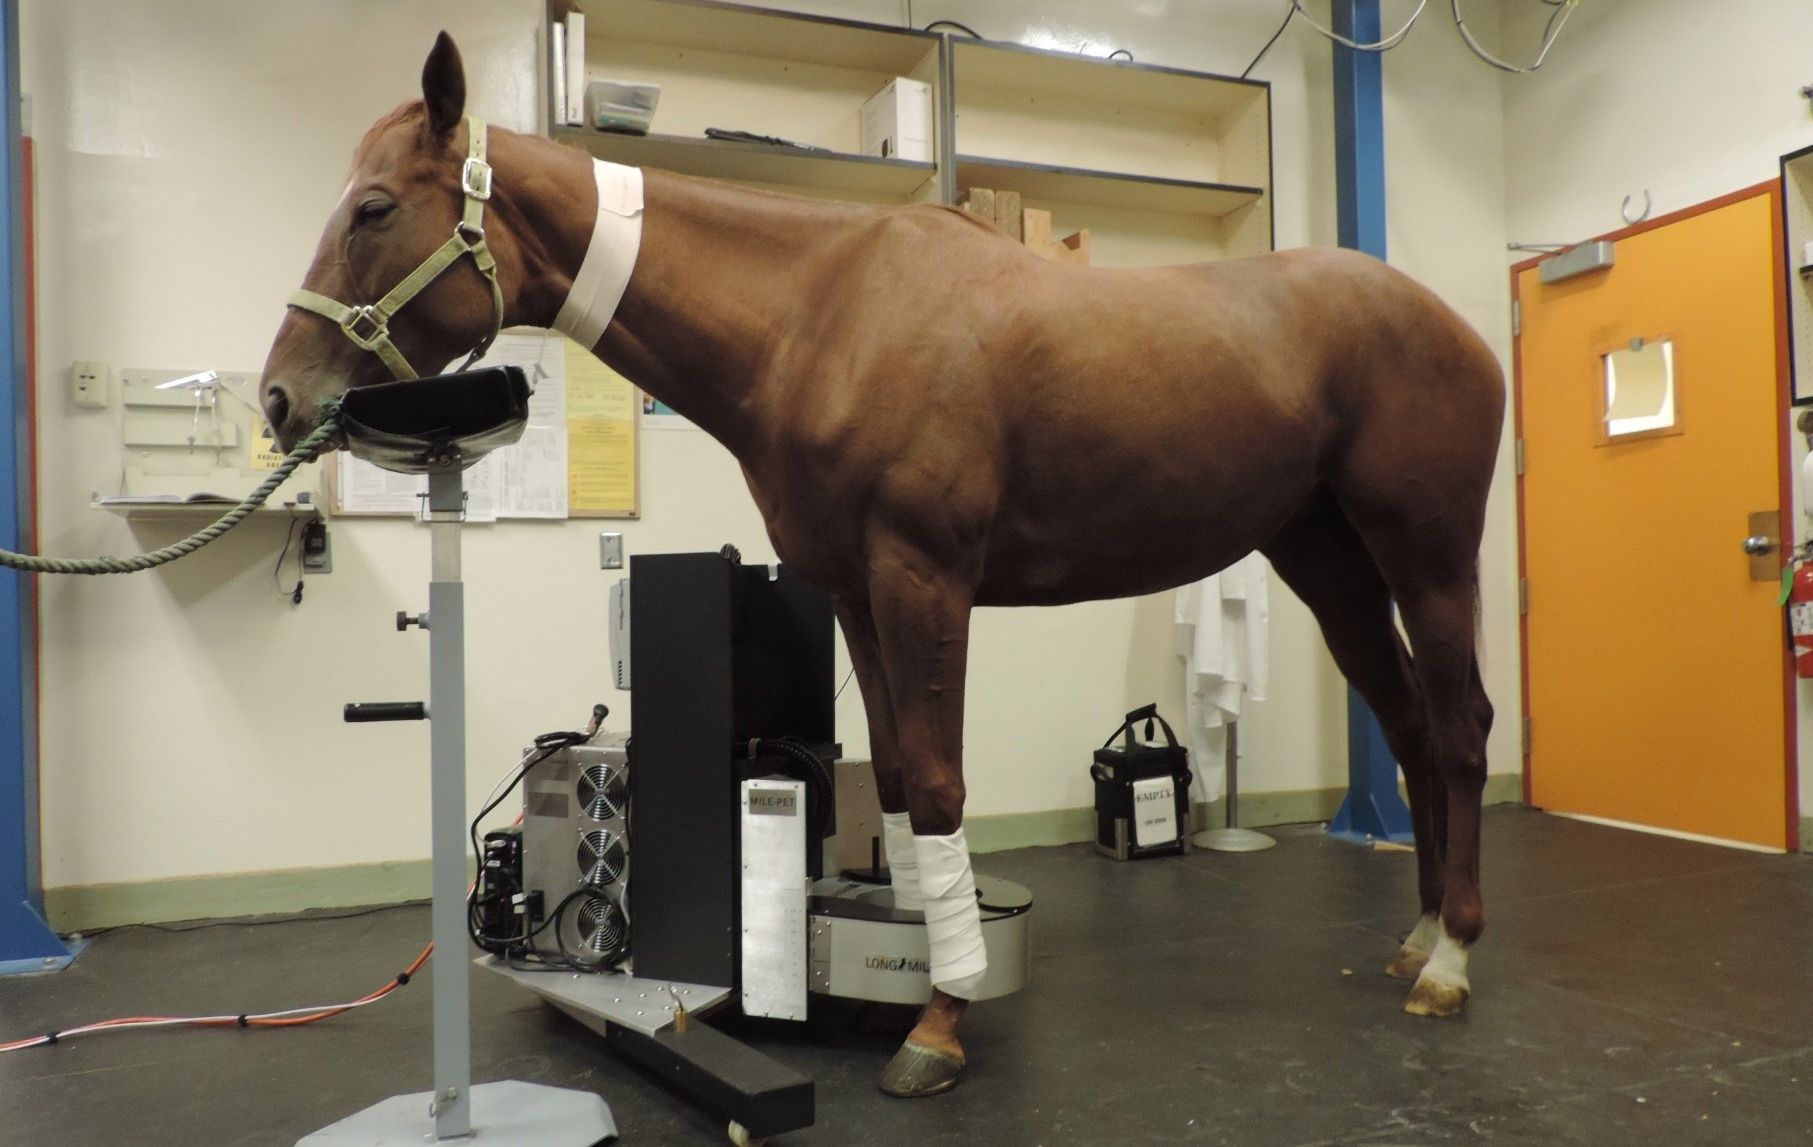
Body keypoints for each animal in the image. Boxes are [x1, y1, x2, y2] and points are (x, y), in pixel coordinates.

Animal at [255, 31, 1501, 1094]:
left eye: (373, 208)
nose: (278, 398)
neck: (822, 319)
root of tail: (1455, 327)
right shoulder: (856, 589)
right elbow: (900, 779)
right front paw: (920, 963)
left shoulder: (924, 579)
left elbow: (942, 780)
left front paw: (942, 1020)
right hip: (1328, 563)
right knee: (1407, 724)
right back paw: (1417, 934)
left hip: (1427, 556)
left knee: (1460, 725)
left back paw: (1453, 960)